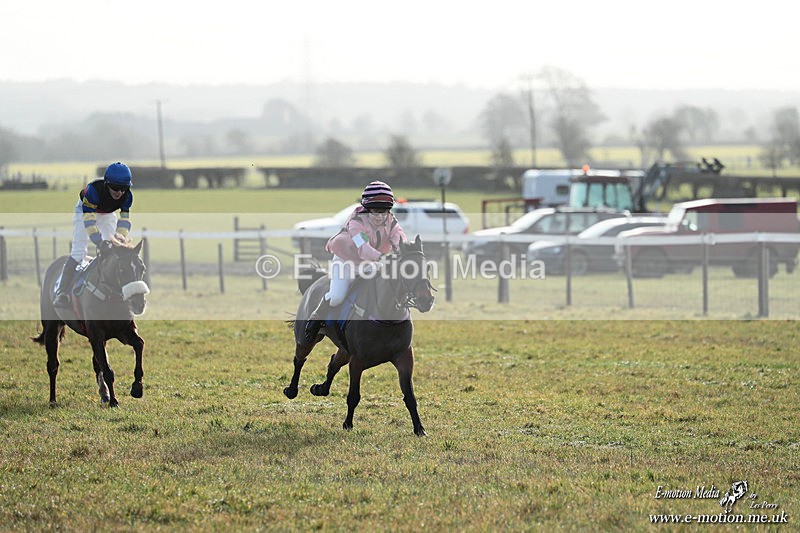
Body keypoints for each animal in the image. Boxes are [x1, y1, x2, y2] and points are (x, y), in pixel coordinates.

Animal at [31, 238, 150, 407]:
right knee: (52, 365)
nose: (139, 303)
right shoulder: (96, 335)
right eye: (122, 270)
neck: (110, 298)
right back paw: (53, 400)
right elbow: (107, 369)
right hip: (52, 328)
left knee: (95, 362)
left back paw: (104, 394)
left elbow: (139, 344)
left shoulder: (123, 331)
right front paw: (114, 401)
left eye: (142, 268)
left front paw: (137, 387)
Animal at [283, 235, 435, 436]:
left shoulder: (404, 358)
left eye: (427, 267)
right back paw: (292, 390)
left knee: (333, 363)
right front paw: (348, 424)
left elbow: (409, 396)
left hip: (344, 350)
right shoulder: (357, 361)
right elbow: (353, 396)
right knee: (299, 360)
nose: (426, 300)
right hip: (307, 339)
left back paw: (320, 389)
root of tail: (315, 281)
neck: (386, 313)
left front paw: (419, 429)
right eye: (408, 269)